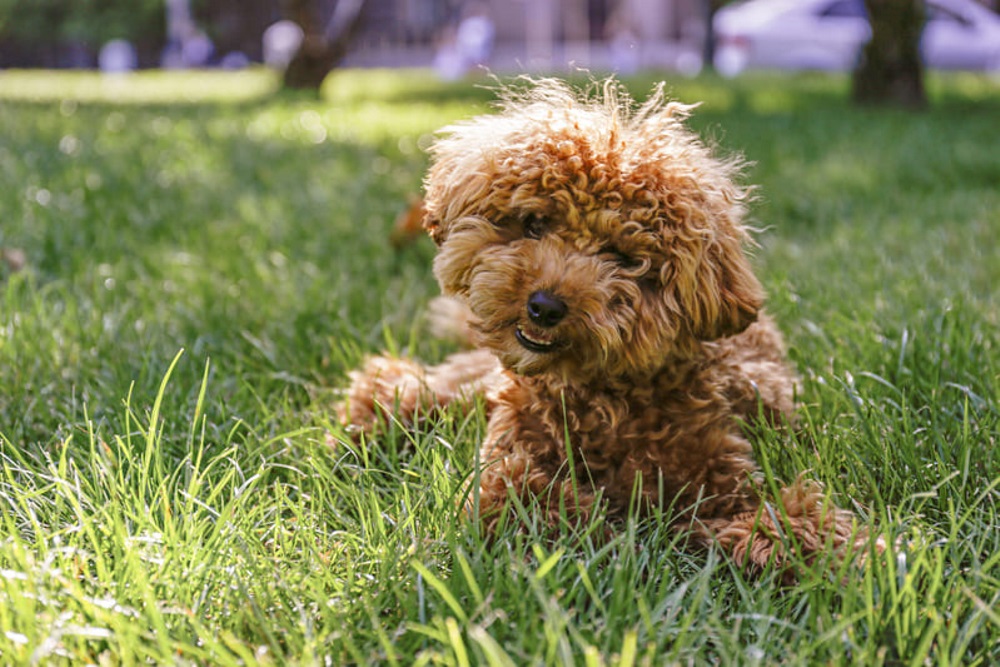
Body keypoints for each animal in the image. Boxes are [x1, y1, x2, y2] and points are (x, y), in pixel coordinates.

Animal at [338, 78, 876, 576]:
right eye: (533, 224)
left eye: (621, 256)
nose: (544, 306)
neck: (601, 399)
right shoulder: (507, 453)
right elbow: (514, 494)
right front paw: (611, 526)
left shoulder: (722, 477)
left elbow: (784, 522)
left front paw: (851, 557)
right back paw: (378, 410)